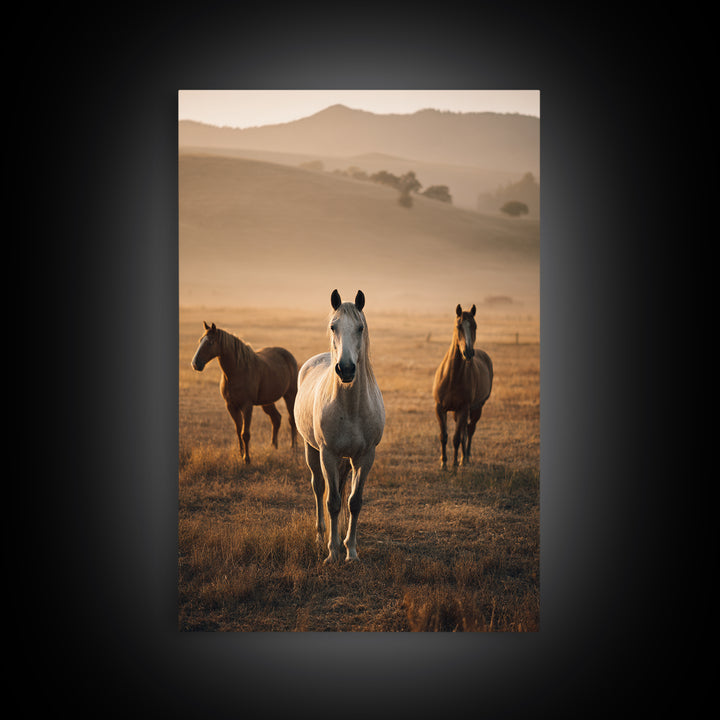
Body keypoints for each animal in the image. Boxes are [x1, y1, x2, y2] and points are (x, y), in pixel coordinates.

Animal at [191, 321, 298, 464]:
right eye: (200, 340)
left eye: (210, 343)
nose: (195, 364)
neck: (237, 371)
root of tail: (288, 355)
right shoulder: (231, 406)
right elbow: (238, 431)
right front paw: (240, 454)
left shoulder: (247, 406)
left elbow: (245, 433)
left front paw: (247, 459)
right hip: (267, 402)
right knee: (276, 419)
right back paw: (273, 447)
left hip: (290, 395)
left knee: (292, 419)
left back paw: (294, 448)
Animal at [294, 290, 385, 563]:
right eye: (333, 326)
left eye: (360, 327)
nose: (345, 368)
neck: (351, 408)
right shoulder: (329, 454)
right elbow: (332, 502)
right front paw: (332, 552)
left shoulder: (365, 457)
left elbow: (354, 502)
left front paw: (351, 550)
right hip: (311, 449)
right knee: (319, 488)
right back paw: (320, 536)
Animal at [432, 304, 493, 470]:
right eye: (459, 326)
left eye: (475, 326)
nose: (468, 352)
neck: (452, 377)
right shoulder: (440, 408)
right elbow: (444, 436)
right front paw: (443, 463)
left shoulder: (463, 409)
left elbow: (456, 438)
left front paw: (453, 465)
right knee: (465, 431)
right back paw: (462, 458)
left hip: (476, 408)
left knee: (470, 430)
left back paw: (465, 458)